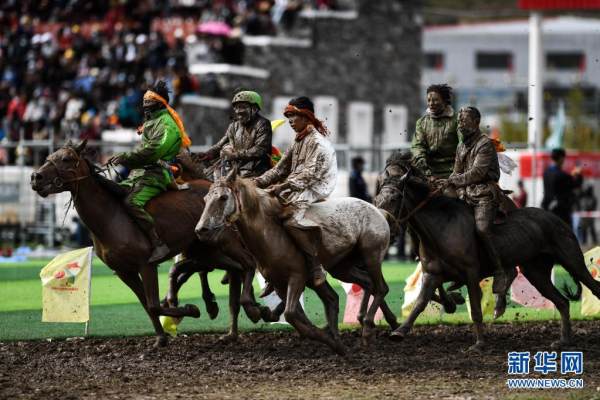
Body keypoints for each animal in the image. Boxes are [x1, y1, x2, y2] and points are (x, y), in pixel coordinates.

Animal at [30, 141, 264, 346]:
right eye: (49, 156)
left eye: (66, 159)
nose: (35, 177)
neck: (111, 217)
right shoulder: (124, 272)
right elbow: (147, 305)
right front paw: (161, 337)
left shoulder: (146, 265)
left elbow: (154, 304)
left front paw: (189, 309)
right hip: (205, 250)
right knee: (234, 267)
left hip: (223, 240)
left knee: (248, 262)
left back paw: (251, 308)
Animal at [197, 170, 400, 354]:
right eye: (206, 198)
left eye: (223, 197)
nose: (201, 229)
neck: (271, 235)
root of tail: (378, 210)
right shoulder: (279, 283)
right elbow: (295, 314)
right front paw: (333, 341)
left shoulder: (297, 277)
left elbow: (291, 313)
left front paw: (328, 338)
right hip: (342, 267)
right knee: (364, 284)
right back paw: (359, 322)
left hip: (371, 255)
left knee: (381, 288)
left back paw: (367, 327)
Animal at [376, 159, 600, 350]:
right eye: (377, 198)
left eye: (395, 197)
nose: (384, 227)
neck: (442, 227)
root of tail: (557, 219)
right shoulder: (432, 274)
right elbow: (420, 303)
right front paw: (400, 330)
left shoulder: (471, 274)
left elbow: (475, 309)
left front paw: (479, 343)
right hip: (536, 272)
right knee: (562, 302)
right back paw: (563, 340)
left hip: (572, 260)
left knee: (592, 286)